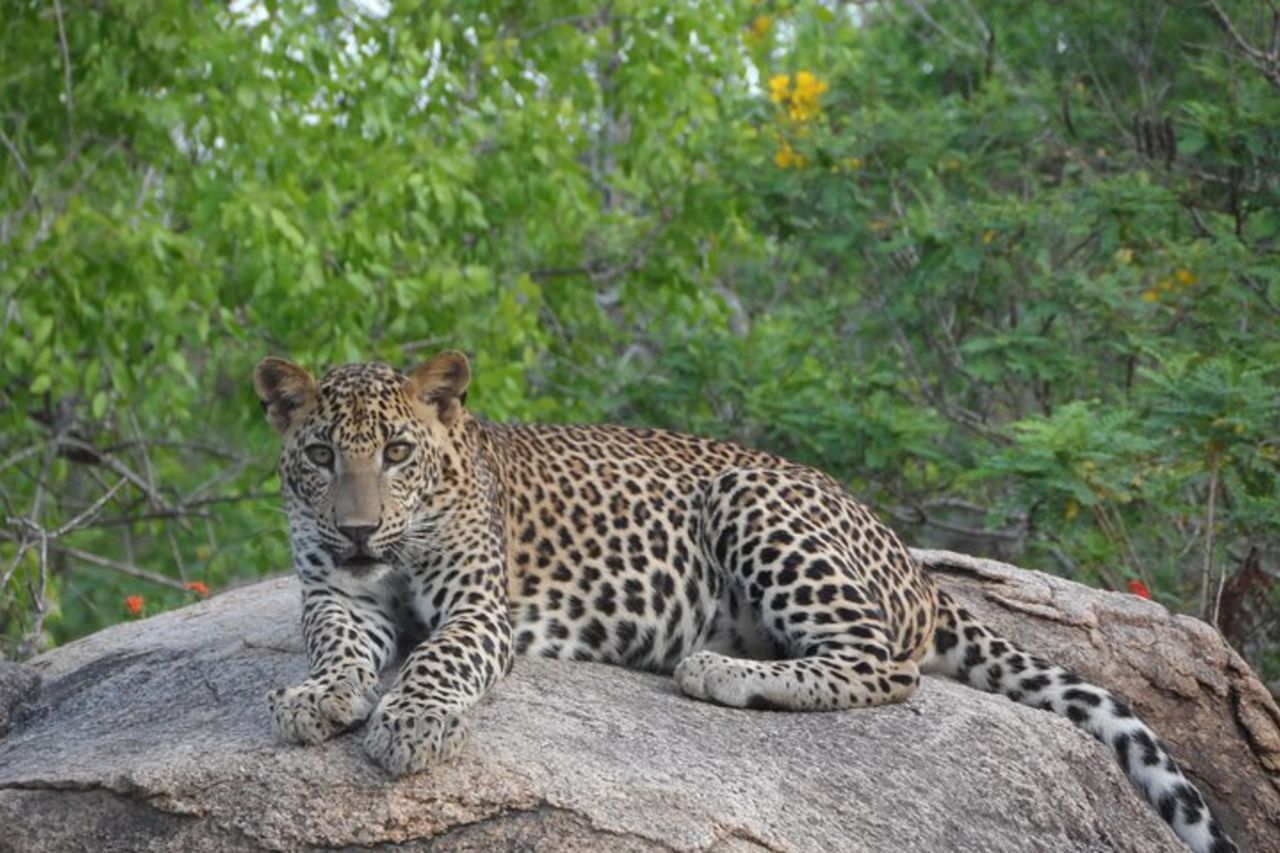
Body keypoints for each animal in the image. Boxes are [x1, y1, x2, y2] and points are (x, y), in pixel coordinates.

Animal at [254, 350, 1237, 853]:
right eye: (321, 455)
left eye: (398, 452)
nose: (357, 529)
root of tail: (912, 560)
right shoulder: (334, 592)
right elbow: (339, 645)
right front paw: (319, 697)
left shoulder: (477, 606)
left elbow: (437, 655)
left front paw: (413, 724)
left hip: (750, 500)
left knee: (888, 666)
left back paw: (721, 670)